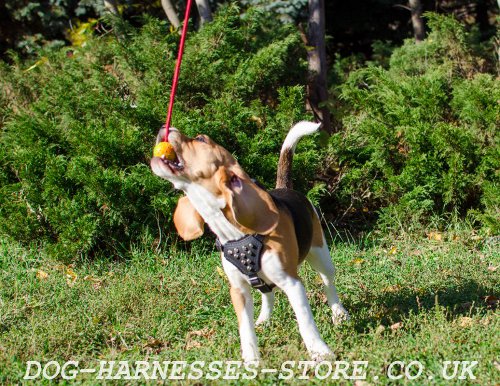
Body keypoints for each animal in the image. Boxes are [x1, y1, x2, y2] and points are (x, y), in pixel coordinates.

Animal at [150, 123, 350, 362]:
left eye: (200, 139)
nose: (165, 127)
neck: (234, 234)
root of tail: (284, 187)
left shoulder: (292, 283)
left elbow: (305, 322)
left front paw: (320, 352)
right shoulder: (238, 290)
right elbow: (245, 329)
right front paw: (251, 361)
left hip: (321, 255)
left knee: (328, 284)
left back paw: (339, 314)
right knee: (267, 293)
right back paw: (264, 319)